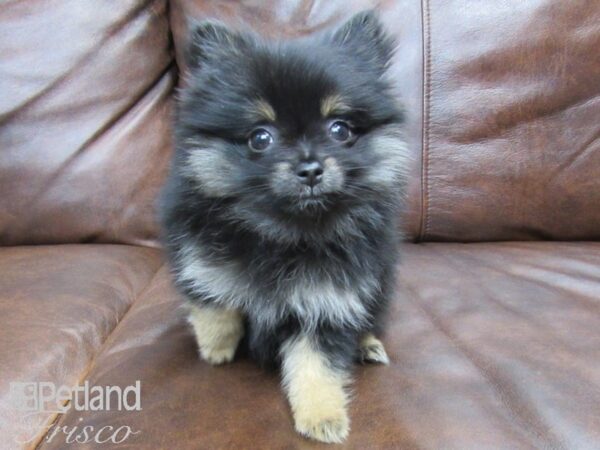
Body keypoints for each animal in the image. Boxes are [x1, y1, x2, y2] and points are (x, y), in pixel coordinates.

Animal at [161, 10, 408, 442]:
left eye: (340, 129)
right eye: (260, 137)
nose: (309, 168)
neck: (283, 234)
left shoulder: (327, 301)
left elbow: (316, 364)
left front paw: (323, 417)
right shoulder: (198, 253)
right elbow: (213, 298)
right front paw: (216, 346)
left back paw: (367, 344)